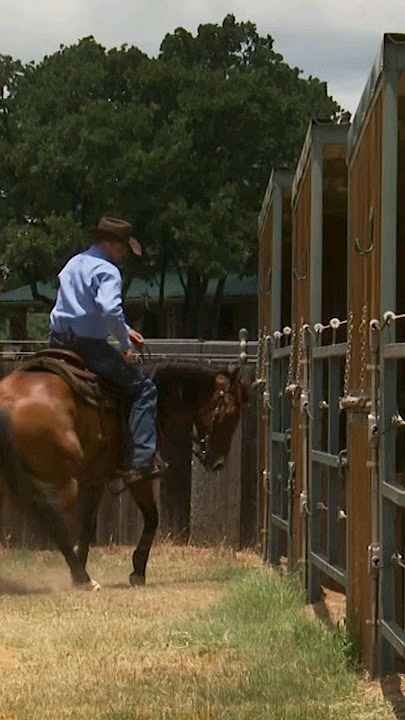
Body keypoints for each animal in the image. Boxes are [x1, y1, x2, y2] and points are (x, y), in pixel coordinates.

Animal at [0, 350, 246, 592]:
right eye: (229, 413)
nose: (217, 462)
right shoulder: (138, 477)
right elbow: (152, 518)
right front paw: (138, 571)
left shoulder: (95, 479)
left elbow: (87, 525)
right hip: (63, 482)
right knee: (57, 524)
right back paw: (83, 578)